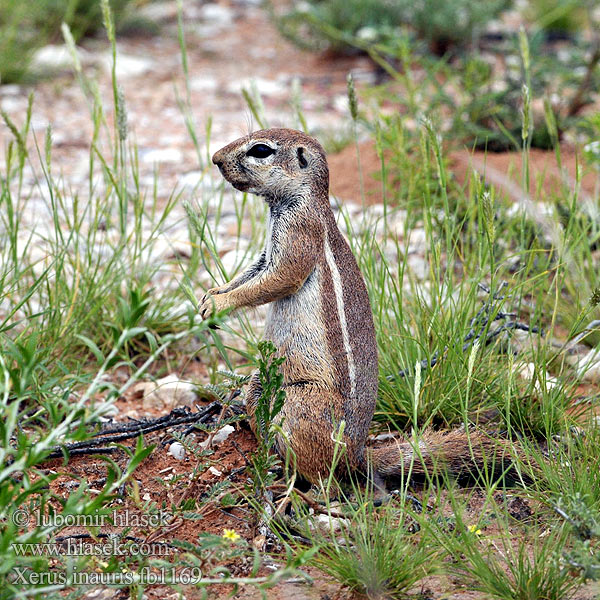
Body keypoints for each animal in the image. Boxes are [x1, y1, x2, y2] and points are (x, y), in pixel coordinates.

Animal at [202, 129, 506, 486]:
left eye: (261, 150)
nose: (215, 159)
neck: (296, 200)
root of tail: (357, 453)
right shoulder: (266, 251)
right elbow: (250, 273)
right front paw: (211, 295)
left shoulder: (299, 232)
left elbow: (278, 278)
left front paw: (220, 303)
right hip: (260, 382)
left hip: (303, 406)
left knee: (323, 473)